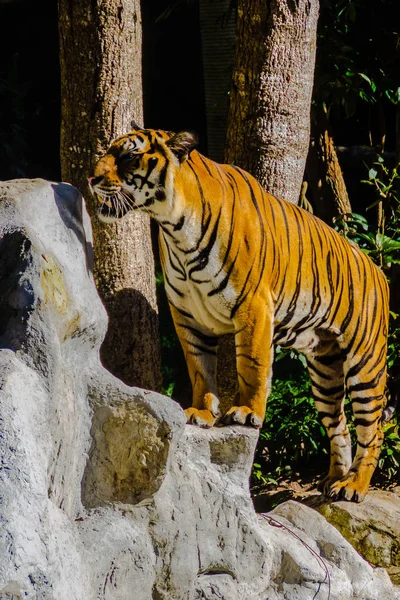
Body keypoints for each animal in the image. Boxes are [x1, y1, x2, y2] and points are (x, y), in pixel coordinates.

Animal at [90, 123, 390, 502]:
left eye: (128, 156)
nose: (91, 178)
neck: (174, 227)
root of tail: (377, 268)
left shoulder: (253, 306)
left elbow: (253, 366)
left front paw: (246, 413)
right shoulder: (186, 313)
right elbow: (200, 368)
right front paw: (201, 412)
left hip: (366, 364)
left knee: (373, 429)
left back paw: (354, 486)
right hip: (325, 372)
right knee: (340, 427)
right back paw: (332, 483)